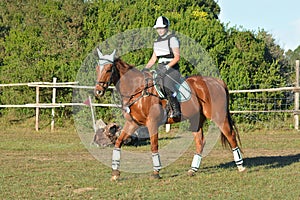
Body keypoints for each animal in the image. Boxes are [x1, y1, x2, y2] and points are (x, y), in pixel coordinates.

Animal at [94, 49, 246, 180]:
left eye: (108, 69)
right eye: (97, 69)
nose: (98, 91)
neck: (137, 90)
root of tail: (217, 81)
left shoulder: (152, 123)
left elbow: (154, 146)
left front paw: (156, 172)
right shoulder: (133, 123)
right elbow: (118, 142)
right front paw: (115, 173)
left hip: (219, 117)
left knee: (230, 136)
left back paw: (241, 166)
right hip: (196, 120)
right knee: (200, 141)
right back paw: (193, 170)